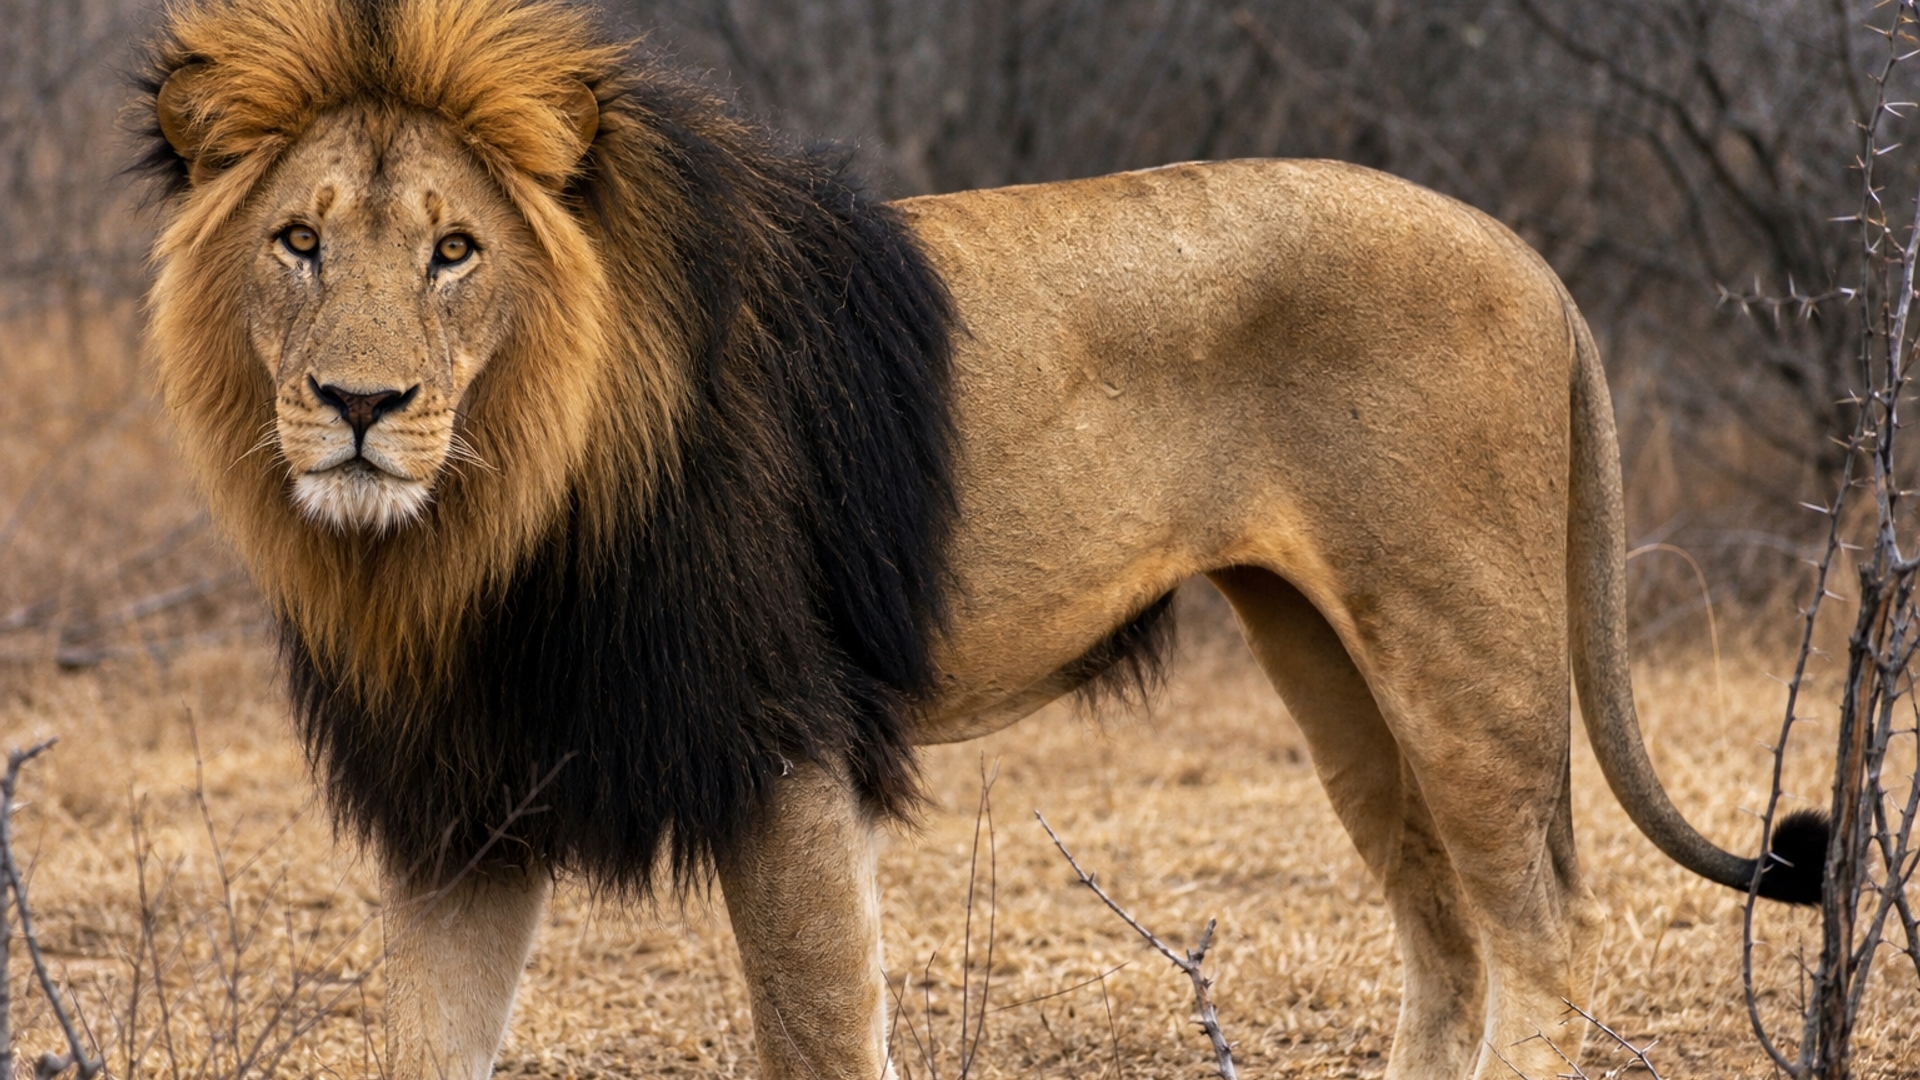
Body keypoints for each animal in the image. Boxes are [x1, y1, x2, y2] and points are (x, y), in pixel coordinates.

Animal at [138, 2, 1824, 1078]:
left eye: (454, 250)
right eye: (299, 242)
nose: (360, 405)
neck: (469, 537)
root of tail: (1523, 251)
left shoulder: (784, 756)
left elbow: (820, 1037)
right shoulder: (461, 817)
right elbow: (425, 1043)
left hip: (1461, 649)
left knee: (1546, 928)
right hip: (1332, 666)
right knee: (1449, 939)